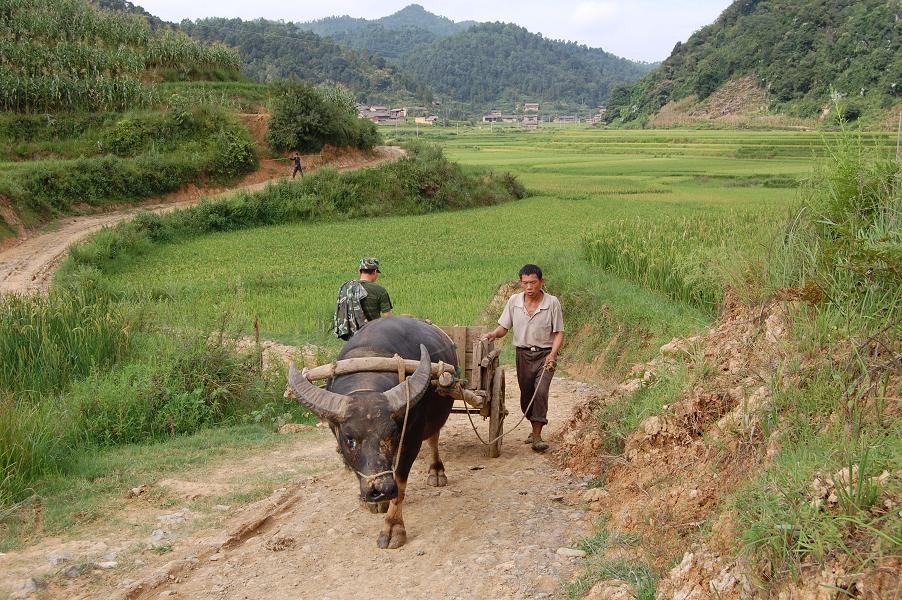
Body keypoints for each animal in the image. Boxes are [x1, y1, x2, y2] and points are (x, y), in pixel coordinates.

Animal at [288, 318, 460, 548]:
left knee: (433, 437)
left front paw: (393, 528)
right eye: (350, 440)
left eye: (392, 434)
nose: (382, 490)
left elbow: (401, 483)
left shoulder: (411, 441)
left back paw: (437, 472)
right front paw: (376, 503)